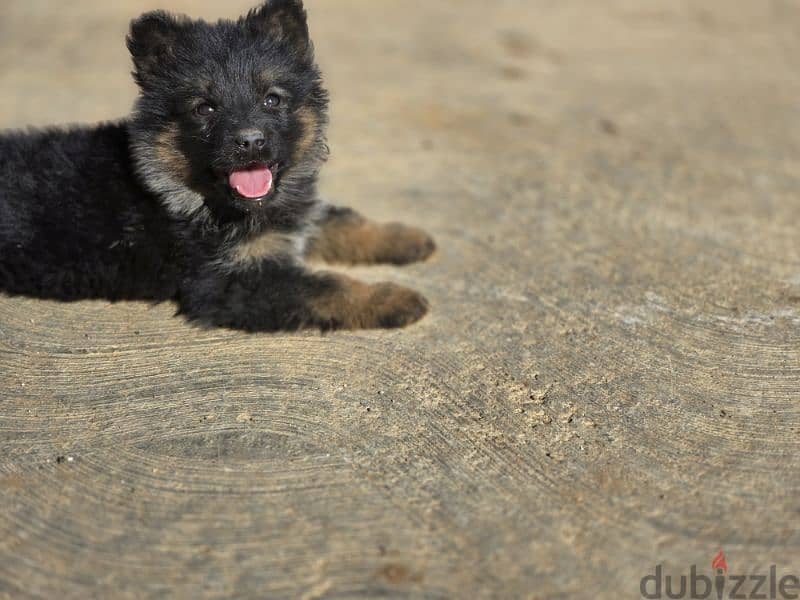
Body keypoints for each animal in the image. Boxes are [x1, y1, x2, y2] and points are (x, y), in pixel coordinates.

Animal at [0, 0, 438, 330]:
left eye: (272, 99)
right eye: (205, 108)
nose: (250, 142)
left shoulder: (292, 214)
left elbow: (339, 220)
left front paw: (406, 238)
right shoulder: (230, 283)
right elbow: (326, 287)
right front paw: (395, 297)